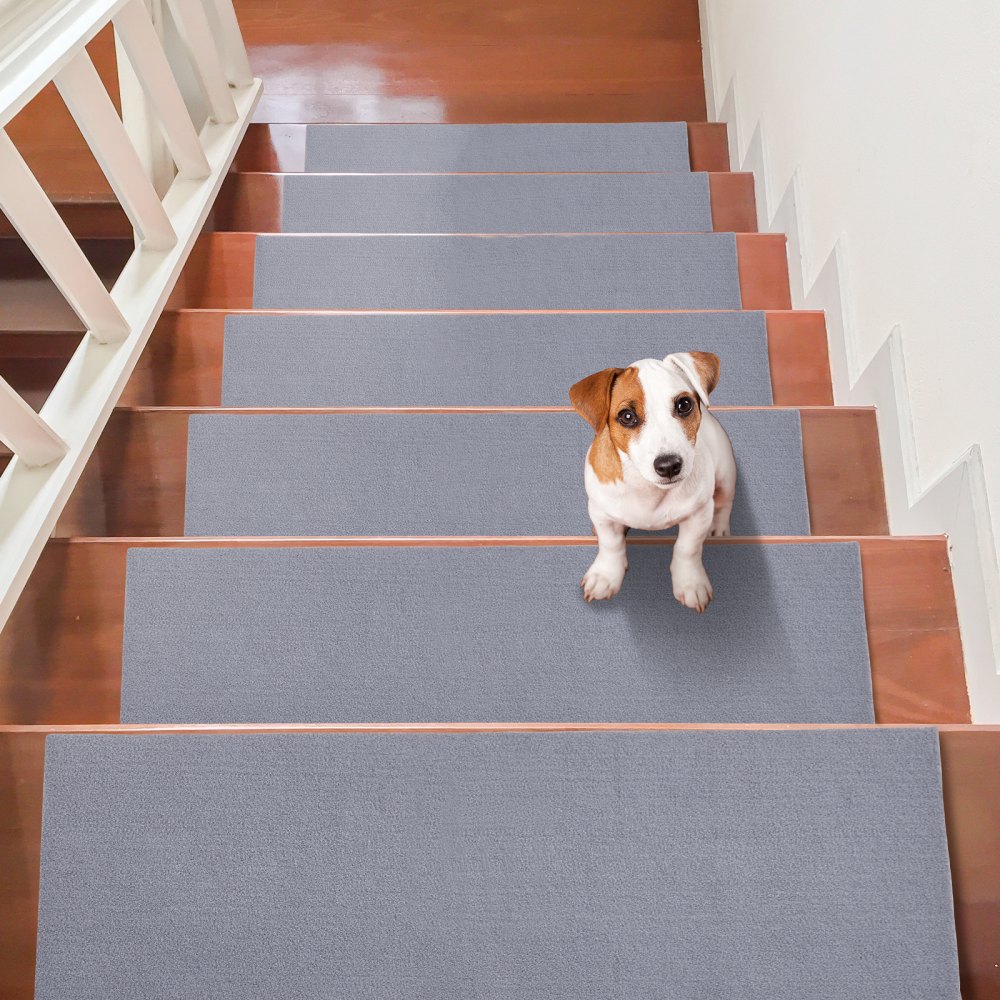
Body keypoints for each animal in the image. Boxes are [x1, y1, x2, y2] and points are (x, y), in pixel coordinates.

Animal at [572, 356, 736, 612]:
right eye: (627, 416)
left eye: (684, 405)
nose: (669, 466)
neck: (647, 488)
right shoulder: (600, 511)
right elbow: (611, 545)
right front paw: (605, 576)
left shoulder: (698, 514)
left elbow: (687, 548)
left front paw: (690, 583)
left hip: (726, 474)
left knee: (724, 503)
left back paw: (719, 529)